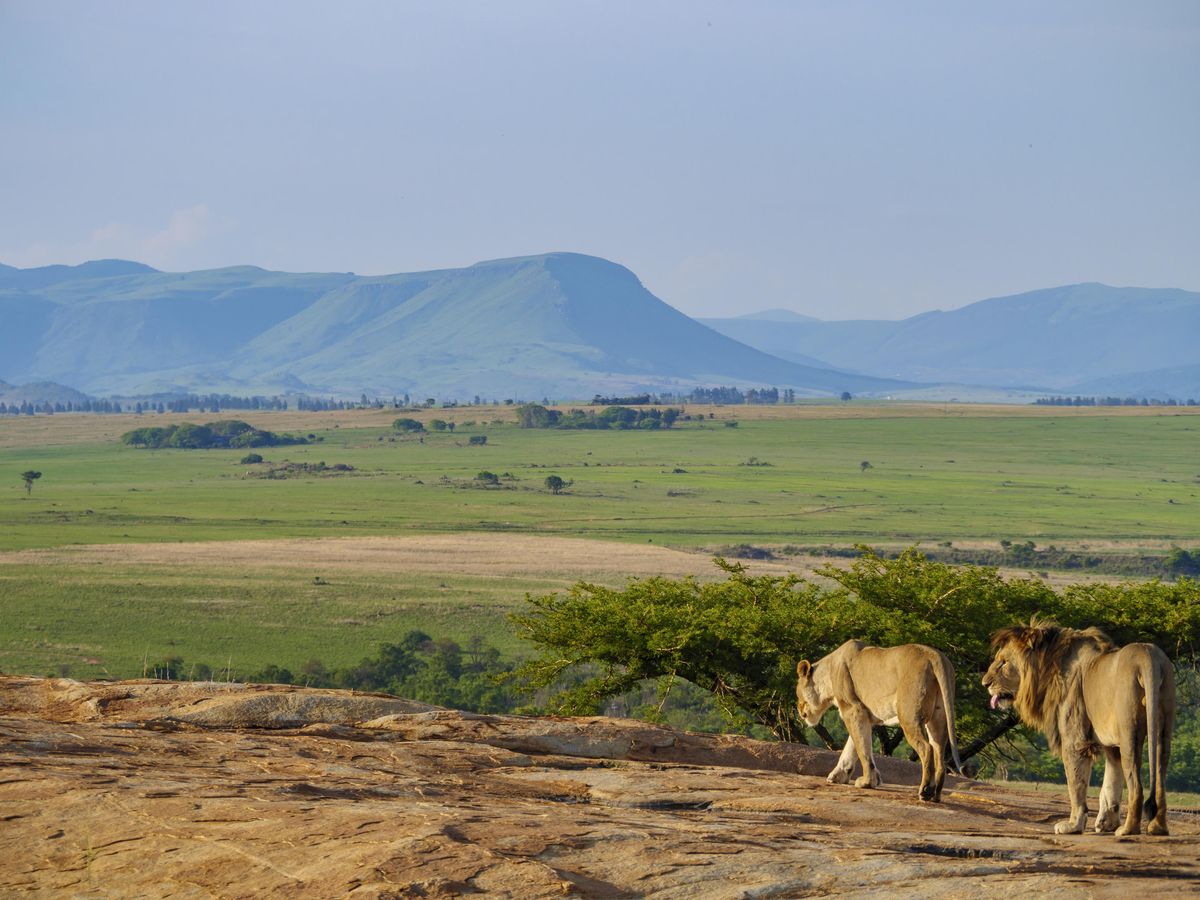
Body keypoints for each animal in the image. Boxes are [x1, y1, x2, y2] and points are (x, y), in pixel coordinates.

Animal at [796, 640, 963, 802]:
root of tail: (935, 656)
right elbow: (854, 746)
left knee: (927, 748)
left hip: (909, 716)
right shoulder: (865, 715)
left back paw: (926, 791)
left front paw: (867, 782)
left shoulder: (853, 710)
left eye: (797, 693)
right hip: (938, 718)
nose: (798, 708)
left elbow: (862, 749)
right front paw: (840, 775)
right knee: (939, 752)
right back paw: (936, 795)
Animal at [982, 619, 1175, 835]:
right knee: (1160, 775)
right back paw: (1158, 827)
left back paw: (1127, 830)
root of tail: (1148, 656)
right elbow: (1111, 783)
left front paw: (1073, 825)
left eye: (1003, 662)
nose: (985, 683)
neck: (1049, 666)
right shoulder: (1111, 745)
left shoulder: (1074, 739)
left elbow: (1075, 783)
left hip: (1129, 732)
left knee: (1136, 785)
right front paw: (1106, 823)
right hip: (1163, 726)